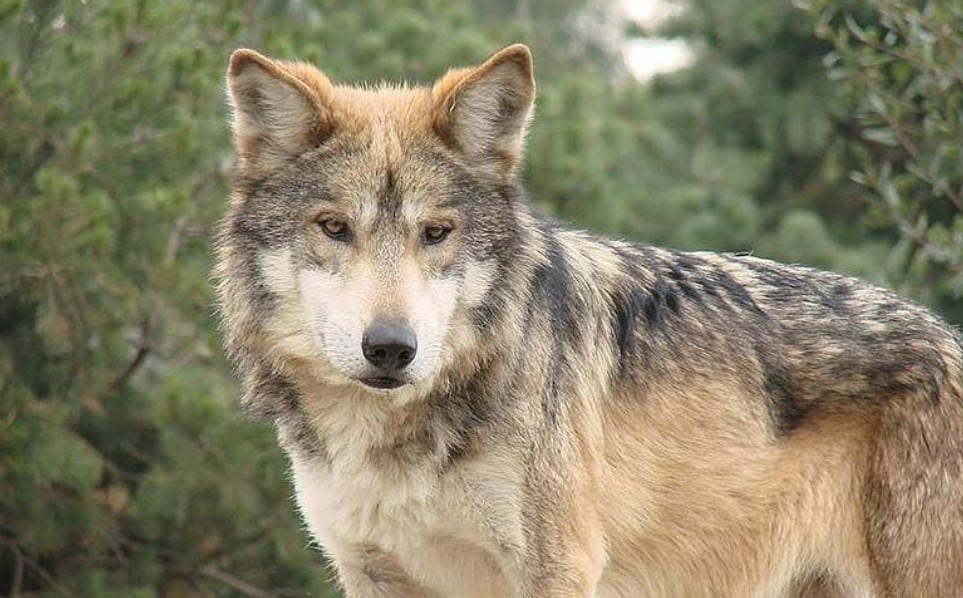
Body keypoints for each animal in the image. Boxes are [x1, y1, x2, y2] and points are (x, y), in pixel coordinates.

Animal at [214, 44, 963, 597]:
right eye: (334, 227)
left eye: (437, 233)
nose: (392, 349)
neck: (391, 441)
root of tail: (949, 338)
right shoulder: (373, 573)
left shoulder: (558, 568)